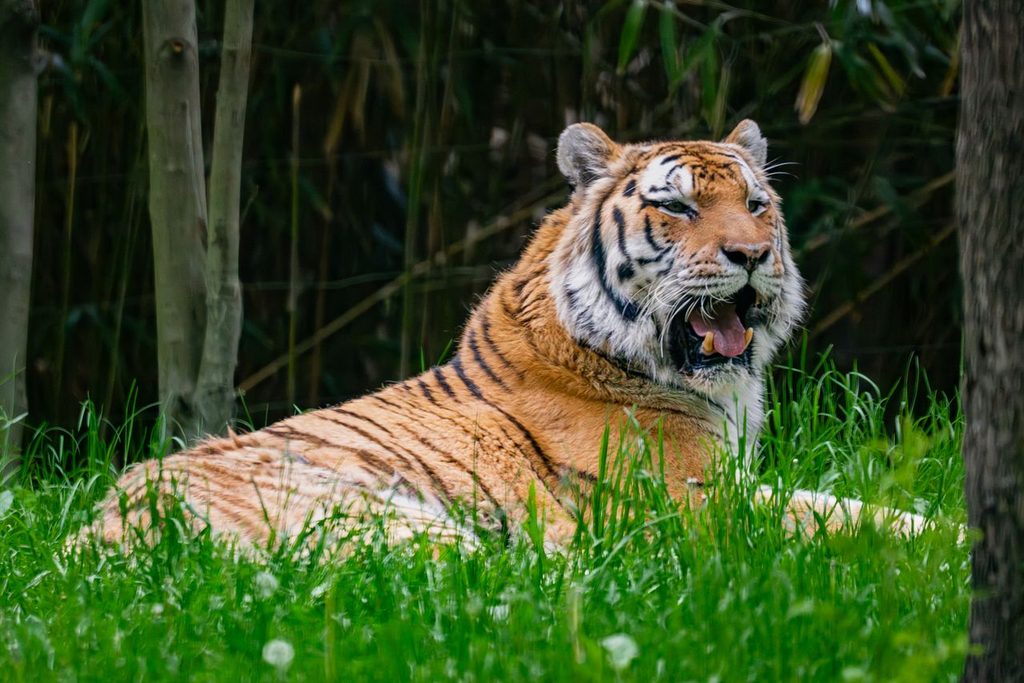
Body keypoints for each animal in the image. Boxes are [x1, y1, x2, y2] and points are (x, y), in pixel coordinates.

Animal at [82, 120, 931, 550]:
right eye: (679, 207)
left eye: (756, 204)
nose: (751, 255)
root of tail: (94, 538)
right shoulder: (695, 503)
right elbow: (845, 519)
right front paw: (941, 550)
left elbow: (845, 500)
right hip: (391, 520)